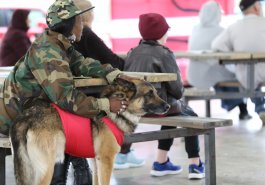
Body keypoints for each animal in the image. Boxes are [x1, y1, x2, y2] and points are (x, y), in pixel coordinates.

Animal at [10, 77, 169, 185]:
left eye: (156, 92)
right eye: (149, 94)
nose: (167, 106)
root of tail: (27, 117)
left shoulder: (96, 161)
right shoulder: (106, 160)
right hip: (46, 169)